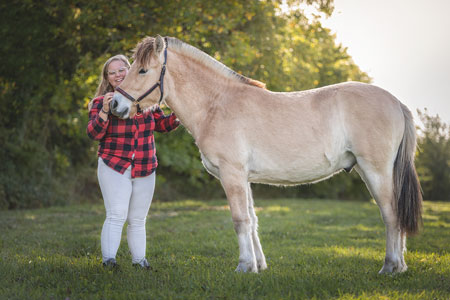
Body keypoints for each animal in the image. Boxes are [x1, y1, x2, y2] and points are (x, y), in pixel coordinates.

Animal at [110, 35, 422, 274]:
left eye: (142, 70)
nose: (114, 105)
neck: (216, 105)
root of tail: (396, 102)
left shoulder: (232, 175)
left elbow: (240, 221)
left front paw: (244, 266)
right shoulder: (243, 178)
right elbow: (252, 222)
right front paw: (258, 266)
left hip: (375, 170)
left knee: (391, 214)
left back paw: (390, 267)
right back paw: (400, 267)